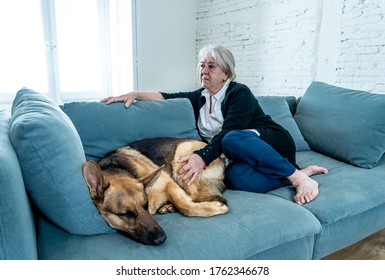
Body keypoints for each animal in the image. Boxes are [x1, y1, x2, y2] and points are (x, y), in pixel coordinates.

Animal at [80, 138, 225, 245]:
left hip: (182, 163)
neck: (118, 169)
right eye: (126, 214)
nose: (162, 239)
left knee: (194, 196)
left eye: (145, 205)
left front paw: (215, 208)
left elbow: (185, 205)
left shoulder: (168, 182)